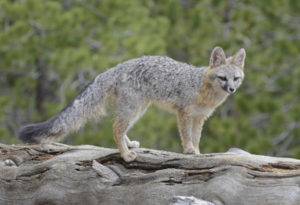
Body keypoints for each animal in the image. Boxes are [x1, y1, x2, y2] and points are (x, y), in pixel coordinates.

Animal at [18, 46, 246, 162]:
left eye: (236, 79)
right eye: (223, 78)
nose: (232, 90)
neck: (203, 89)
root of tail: (117, 67)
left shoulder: (200, 117)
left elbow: (197, 137)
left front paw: (198, 152)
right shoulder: (183, 112)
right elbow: (186, 135)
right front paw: (189, 150)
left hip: (138, 110)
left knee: (120, 128)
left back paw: (129, 145)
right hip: (133, 109)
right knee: (116, 129)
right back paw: (126, 155)